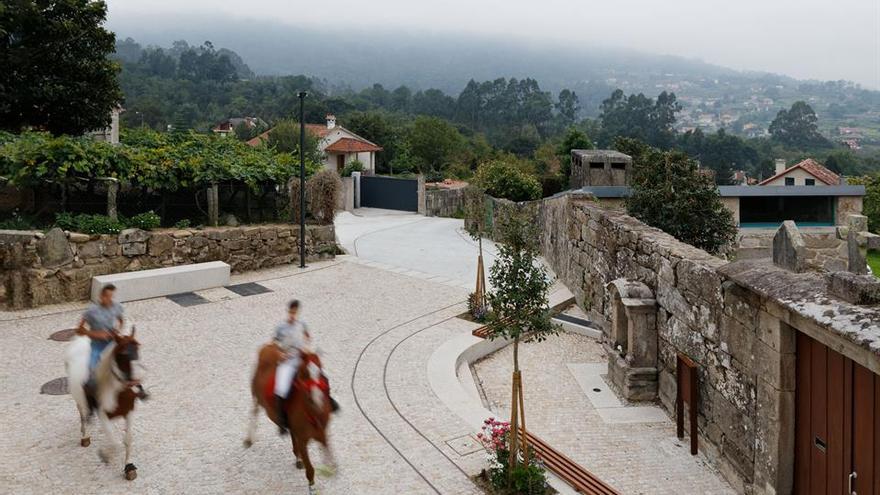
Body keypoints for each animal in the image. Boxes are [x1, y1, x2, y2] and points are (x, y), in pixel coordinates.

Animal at [65, 328, 144, 482]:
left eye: (138, 348)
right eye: (123, 353)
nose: (136, 381)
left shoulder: (129, 412)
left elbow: (127, 440)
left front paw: (129, 467)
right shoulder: (102, 415)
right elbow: (115, 443)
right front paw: (104, 455)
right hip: (78, 397)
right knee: (82, 412)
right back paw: (85, 436)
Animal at [244, 342, 334, 494]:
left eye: (320, 371)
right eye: (305, 373)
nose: (317, 399)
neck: (312, 413)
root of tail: (268, 346)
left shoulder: (322, 434)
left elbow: (328, 452)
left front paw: (331, 468)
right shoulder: (303, 440)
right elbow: (310, 468)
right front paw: (312, 488)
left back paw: (297, 458)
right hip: (256, 395)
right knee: (253, 413)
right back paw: (249, 439)